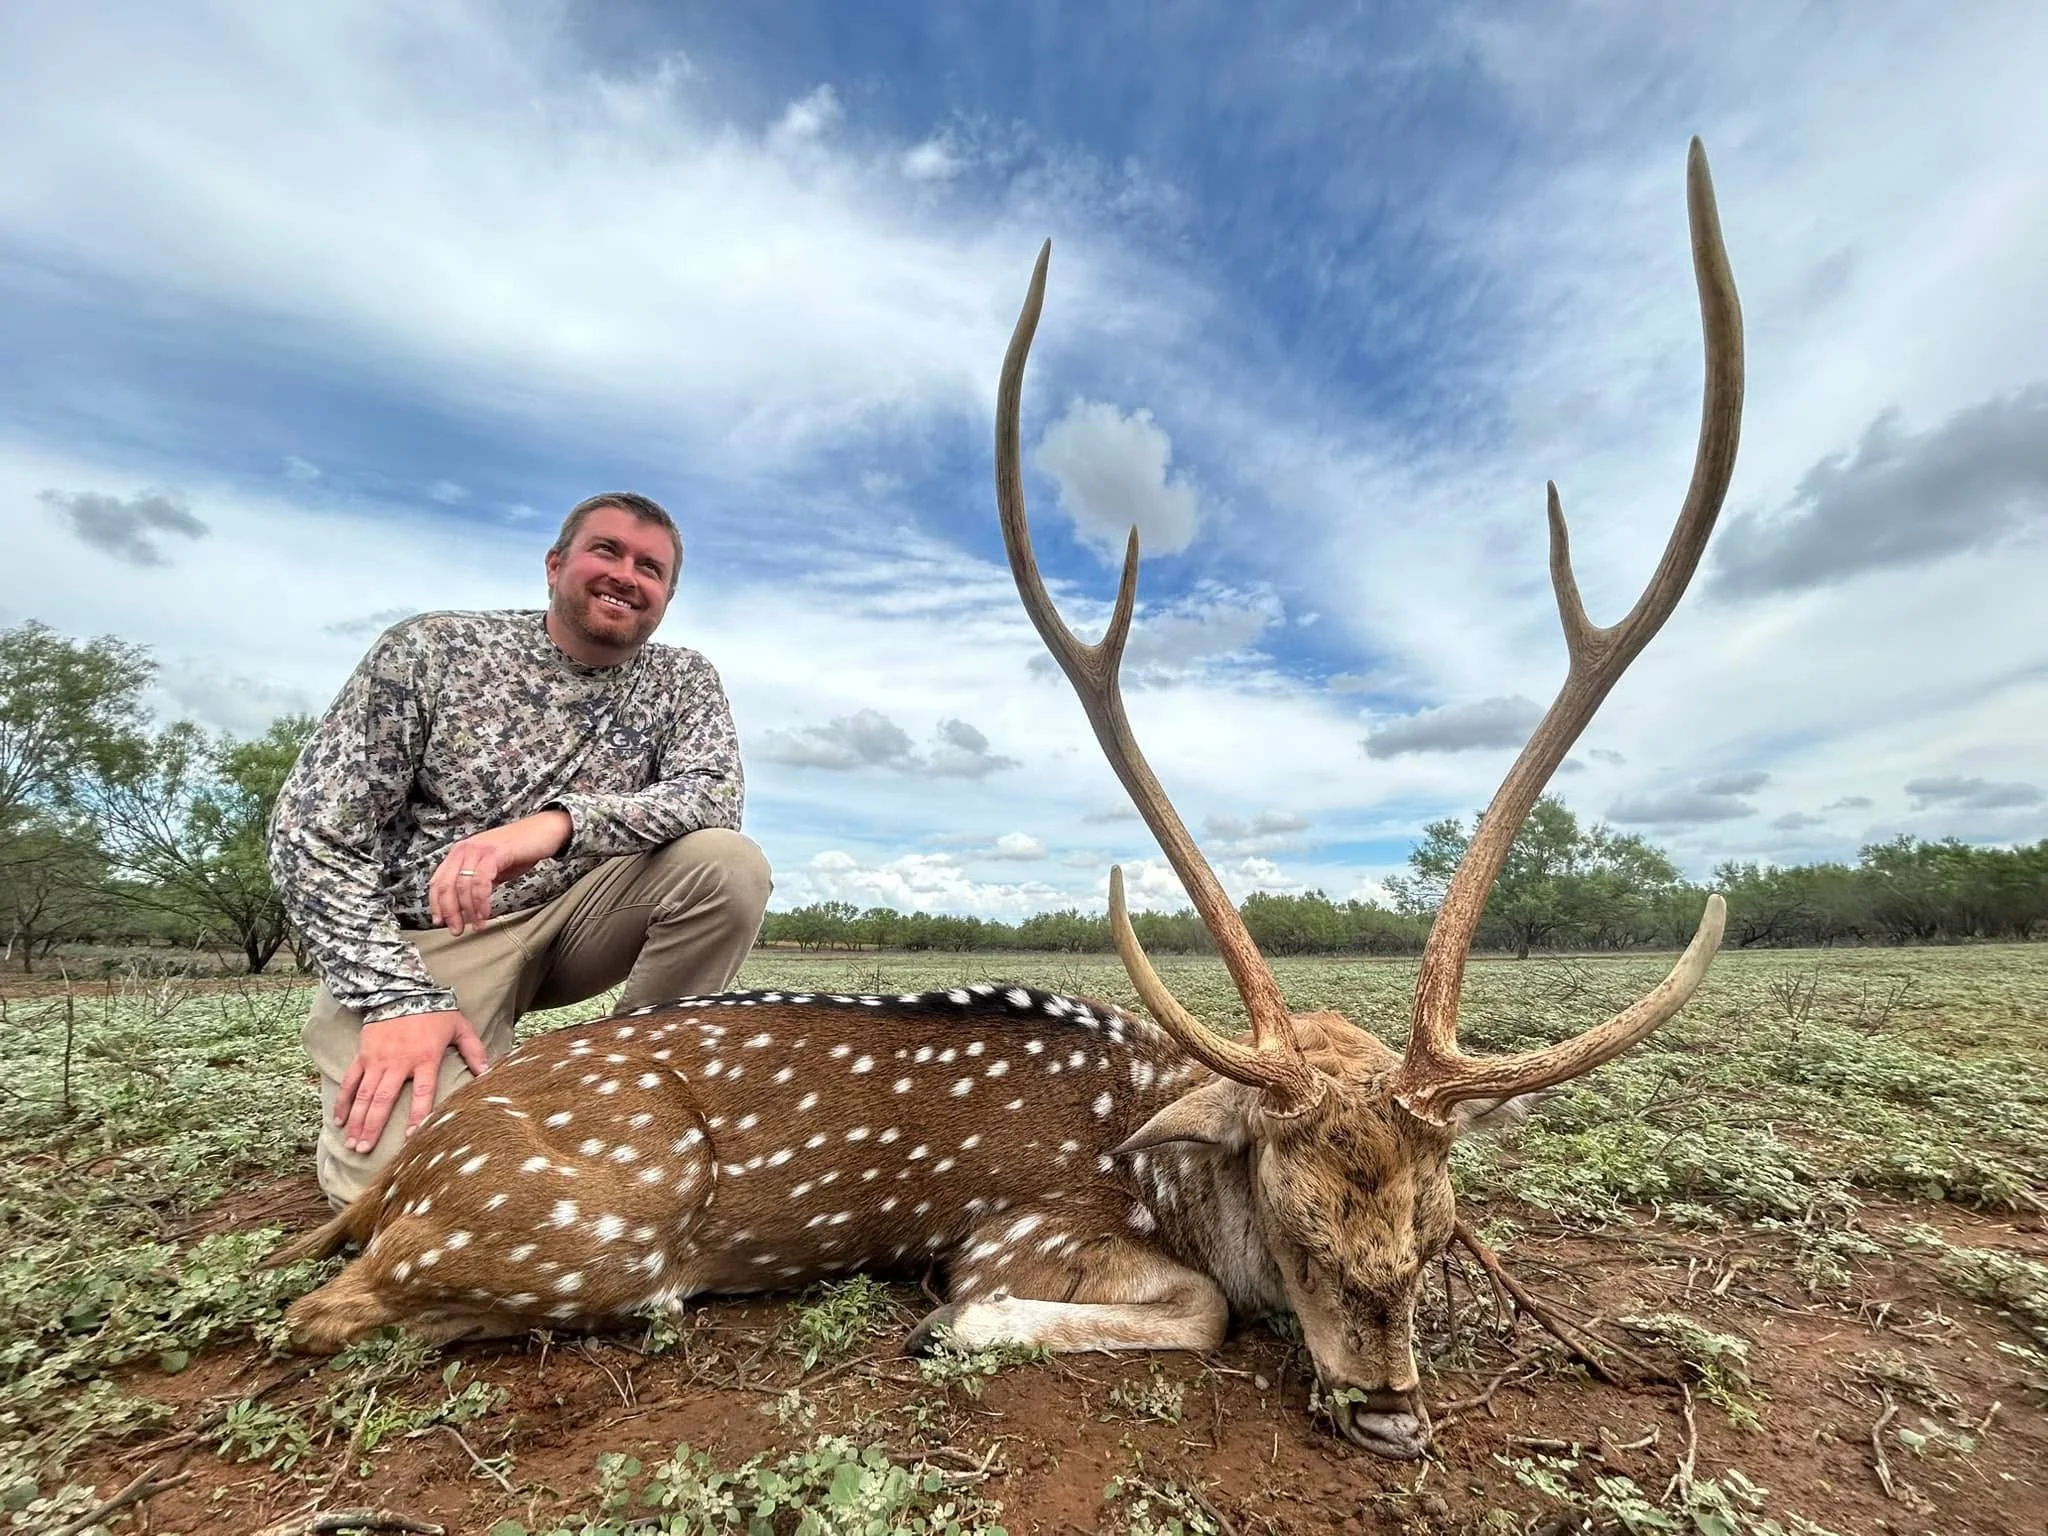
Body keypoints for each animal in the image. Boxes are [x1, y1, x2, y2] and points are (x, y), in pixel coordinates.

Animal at [267, 138, 1742, 1460]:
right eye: (1293, 1213)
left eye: (1438, 1229)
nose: (1391, 1412)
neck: (1157, 1150)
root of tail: (409, 1160)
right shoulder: (1028, 1226)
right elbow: (1196, 1309)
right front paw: (948, 1327)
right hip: (581, 1229)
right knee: (320, 1311)